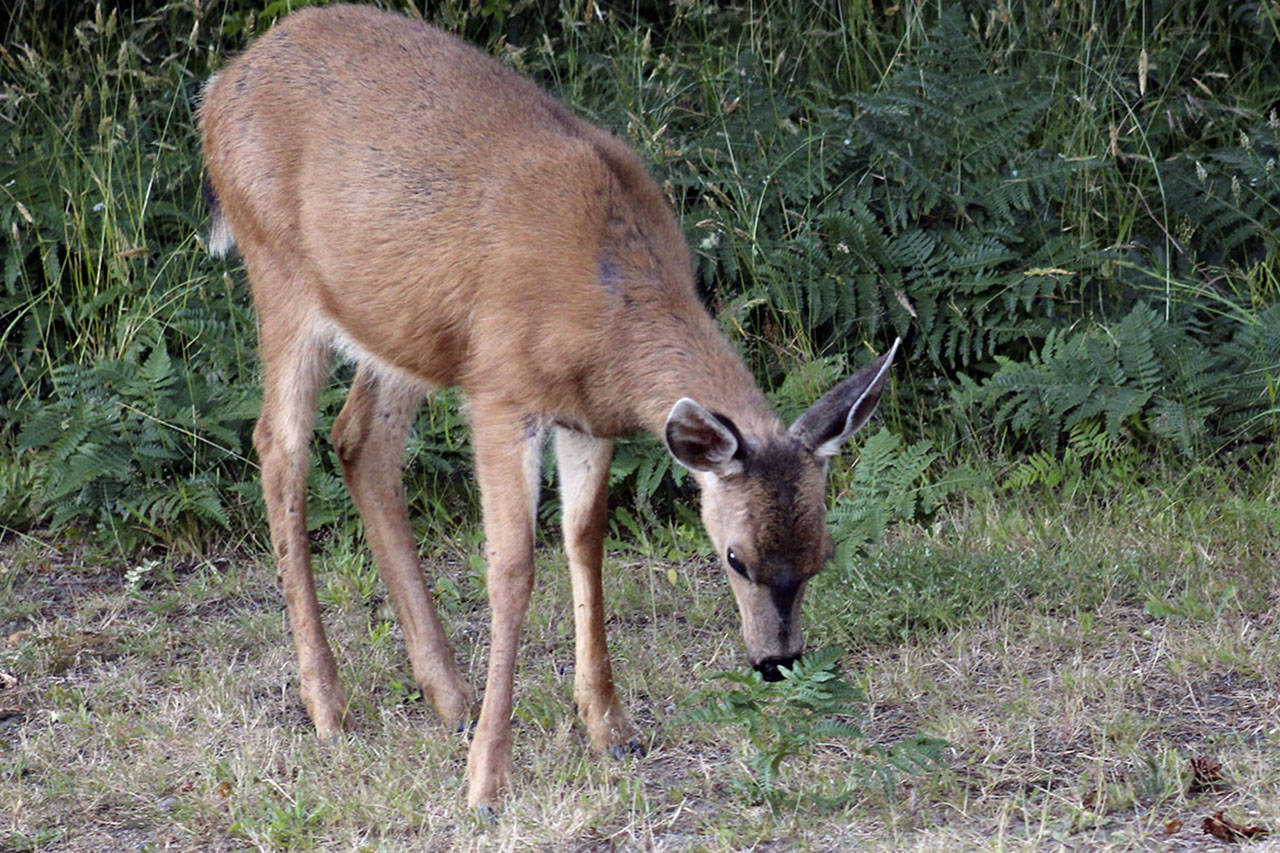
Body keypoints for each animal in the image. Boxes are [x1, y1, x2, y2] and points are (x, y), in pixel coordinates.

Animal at [202, 3, 901, 809]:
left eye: (822, 553)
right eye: (736, 557)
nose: (777, 663)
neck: (610, 309)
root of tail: (221, 85)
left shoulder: (586, 418)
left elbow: (586, 540)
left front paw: (610, 726)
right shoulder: (501, 393)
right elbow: (511, 568)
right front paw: (487, 778)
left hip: (408, 329)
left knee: (359, 440)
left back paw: (449, 696)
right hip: (279, 271)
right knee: (279, 447)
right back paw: (330, 707)